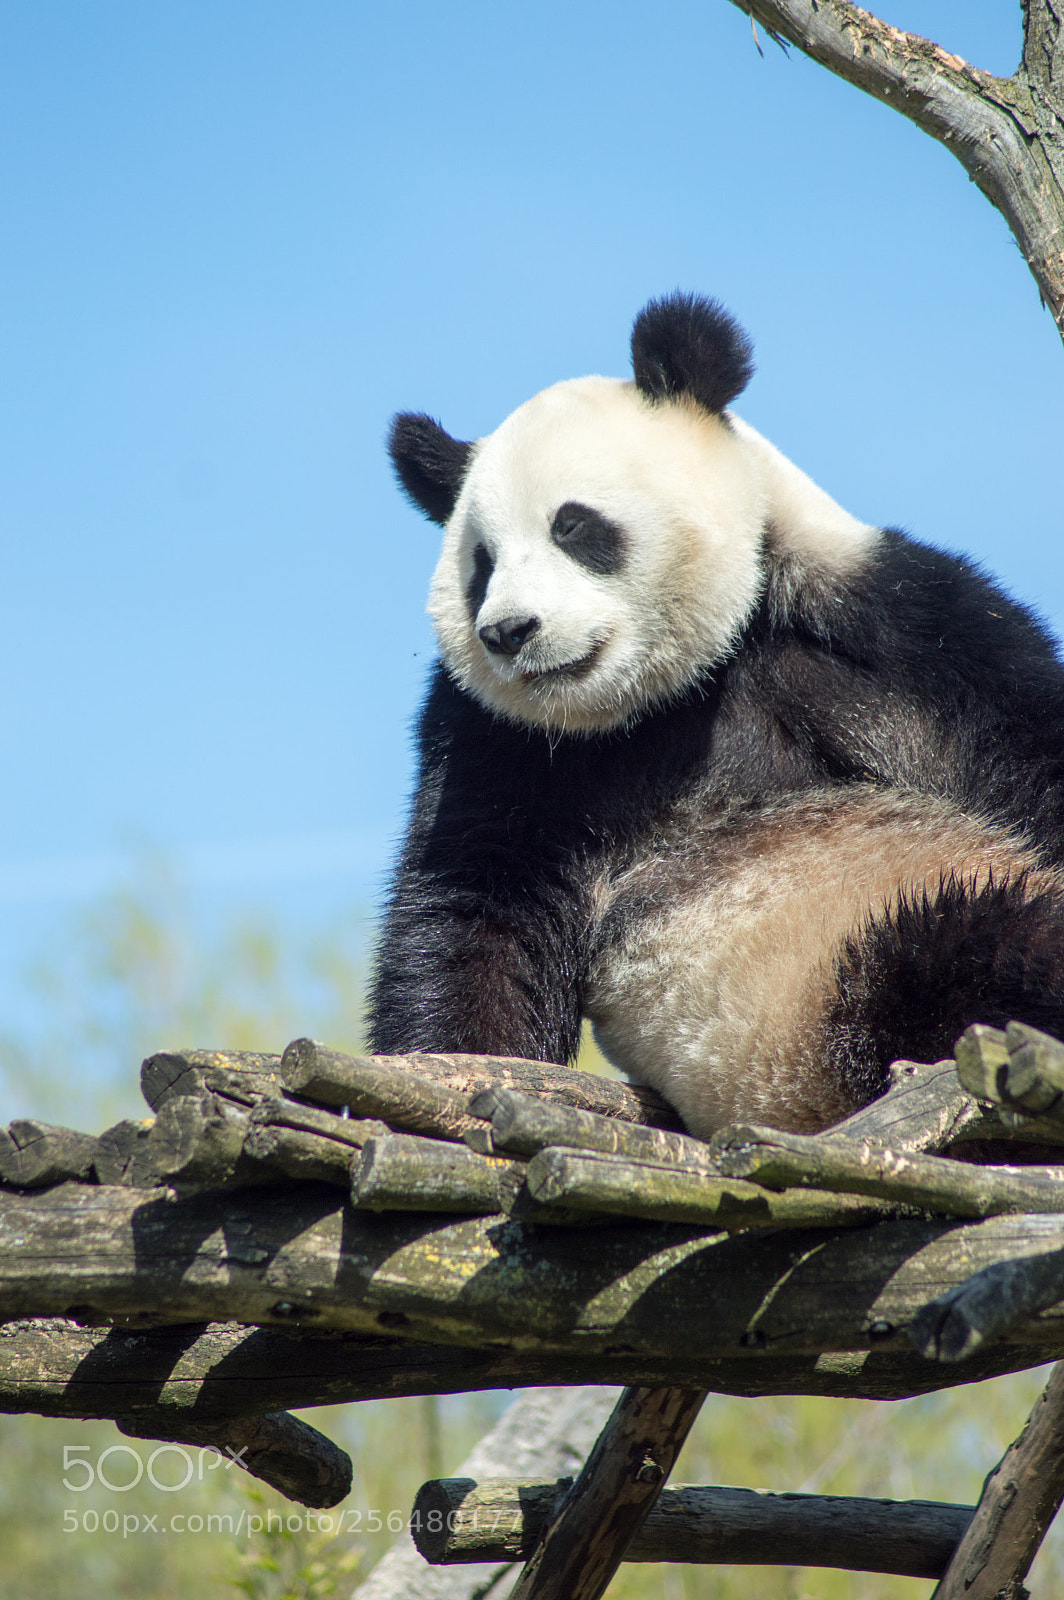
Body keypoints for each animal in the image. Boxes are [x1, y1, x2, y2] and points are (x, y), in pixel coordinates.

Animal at [368, 291, 1064, 1137]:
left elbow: (1025, 742)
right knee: (964, 944)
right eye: (482, 562)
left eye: (574, 526)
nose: (507, 631)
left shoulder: (902, 627)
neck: (681, 685)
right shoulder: (497, 736)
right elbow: (476, 908)